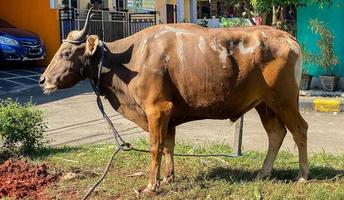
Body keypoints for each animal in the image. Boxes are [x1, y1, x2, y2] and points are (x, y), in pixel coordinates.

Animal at [39, 10, 310, 196]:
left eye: (66, 53)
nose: (43, 80)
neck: (131, 60)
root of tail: (287, 37)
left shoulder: (157, 109)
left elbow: (155, 147)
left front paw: (151, 185)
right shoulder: (168, 114)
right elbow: (169, 145)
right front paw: (168, 178)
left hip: (283, 100)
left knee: (299, 130)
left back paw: (303, 175)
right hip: (264, 103)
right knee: (276, 134)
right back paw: (263, 172)